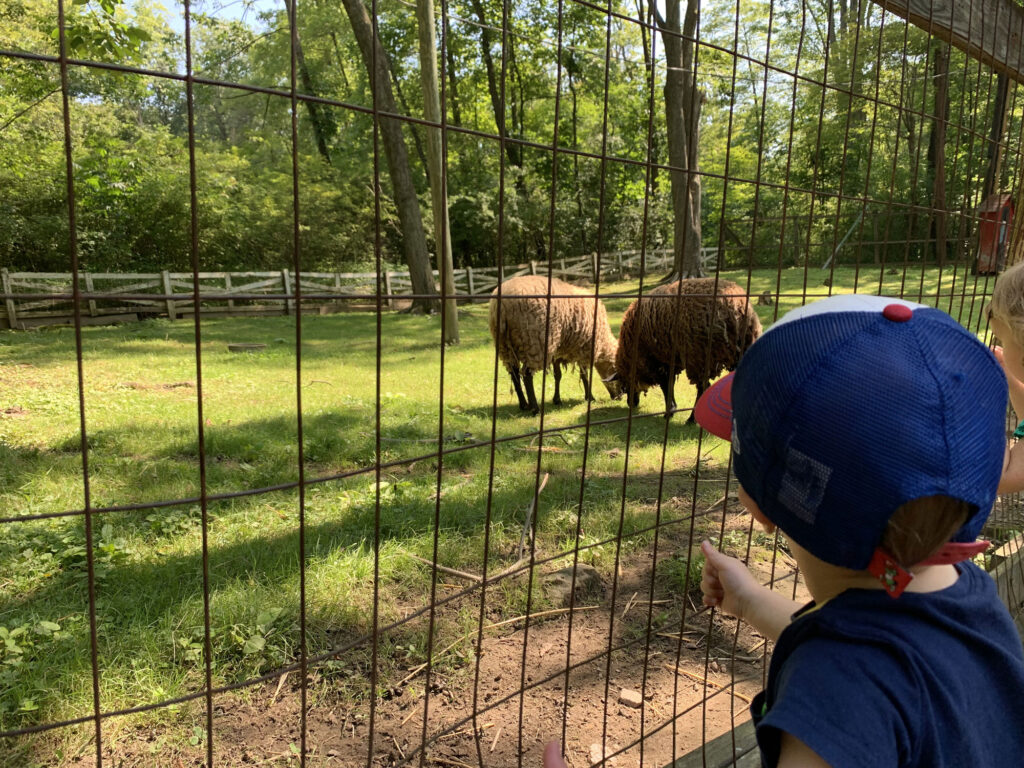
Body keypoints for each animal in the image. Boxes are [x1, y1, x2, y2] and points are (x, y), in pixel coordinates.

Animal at [489, 276, 622, 415]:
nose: (619, 397)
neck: (602, 343)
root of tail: (503, 306)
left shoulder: (558, 351)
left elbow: (558, 376)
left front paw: (557, 399)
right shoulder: (585, 348)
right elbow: (584, 375)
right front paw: (589, 397)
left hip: (505, 346)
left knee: (514, 374)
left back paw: (524, 404)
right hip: (534, 343)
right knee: (526, 375)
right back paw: (535, 408)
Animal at [606, 278, 761, 421]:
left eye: (624, 382)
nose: (631, 403)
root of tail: (738, 307)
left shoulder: (656, 360)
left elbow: (665, 385)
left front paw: (669, 412)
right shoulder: (669, 359)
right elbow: (670, 383)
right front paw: (672, 408)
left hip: (699, 355)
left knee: (703, 387)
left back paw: (692, 419)